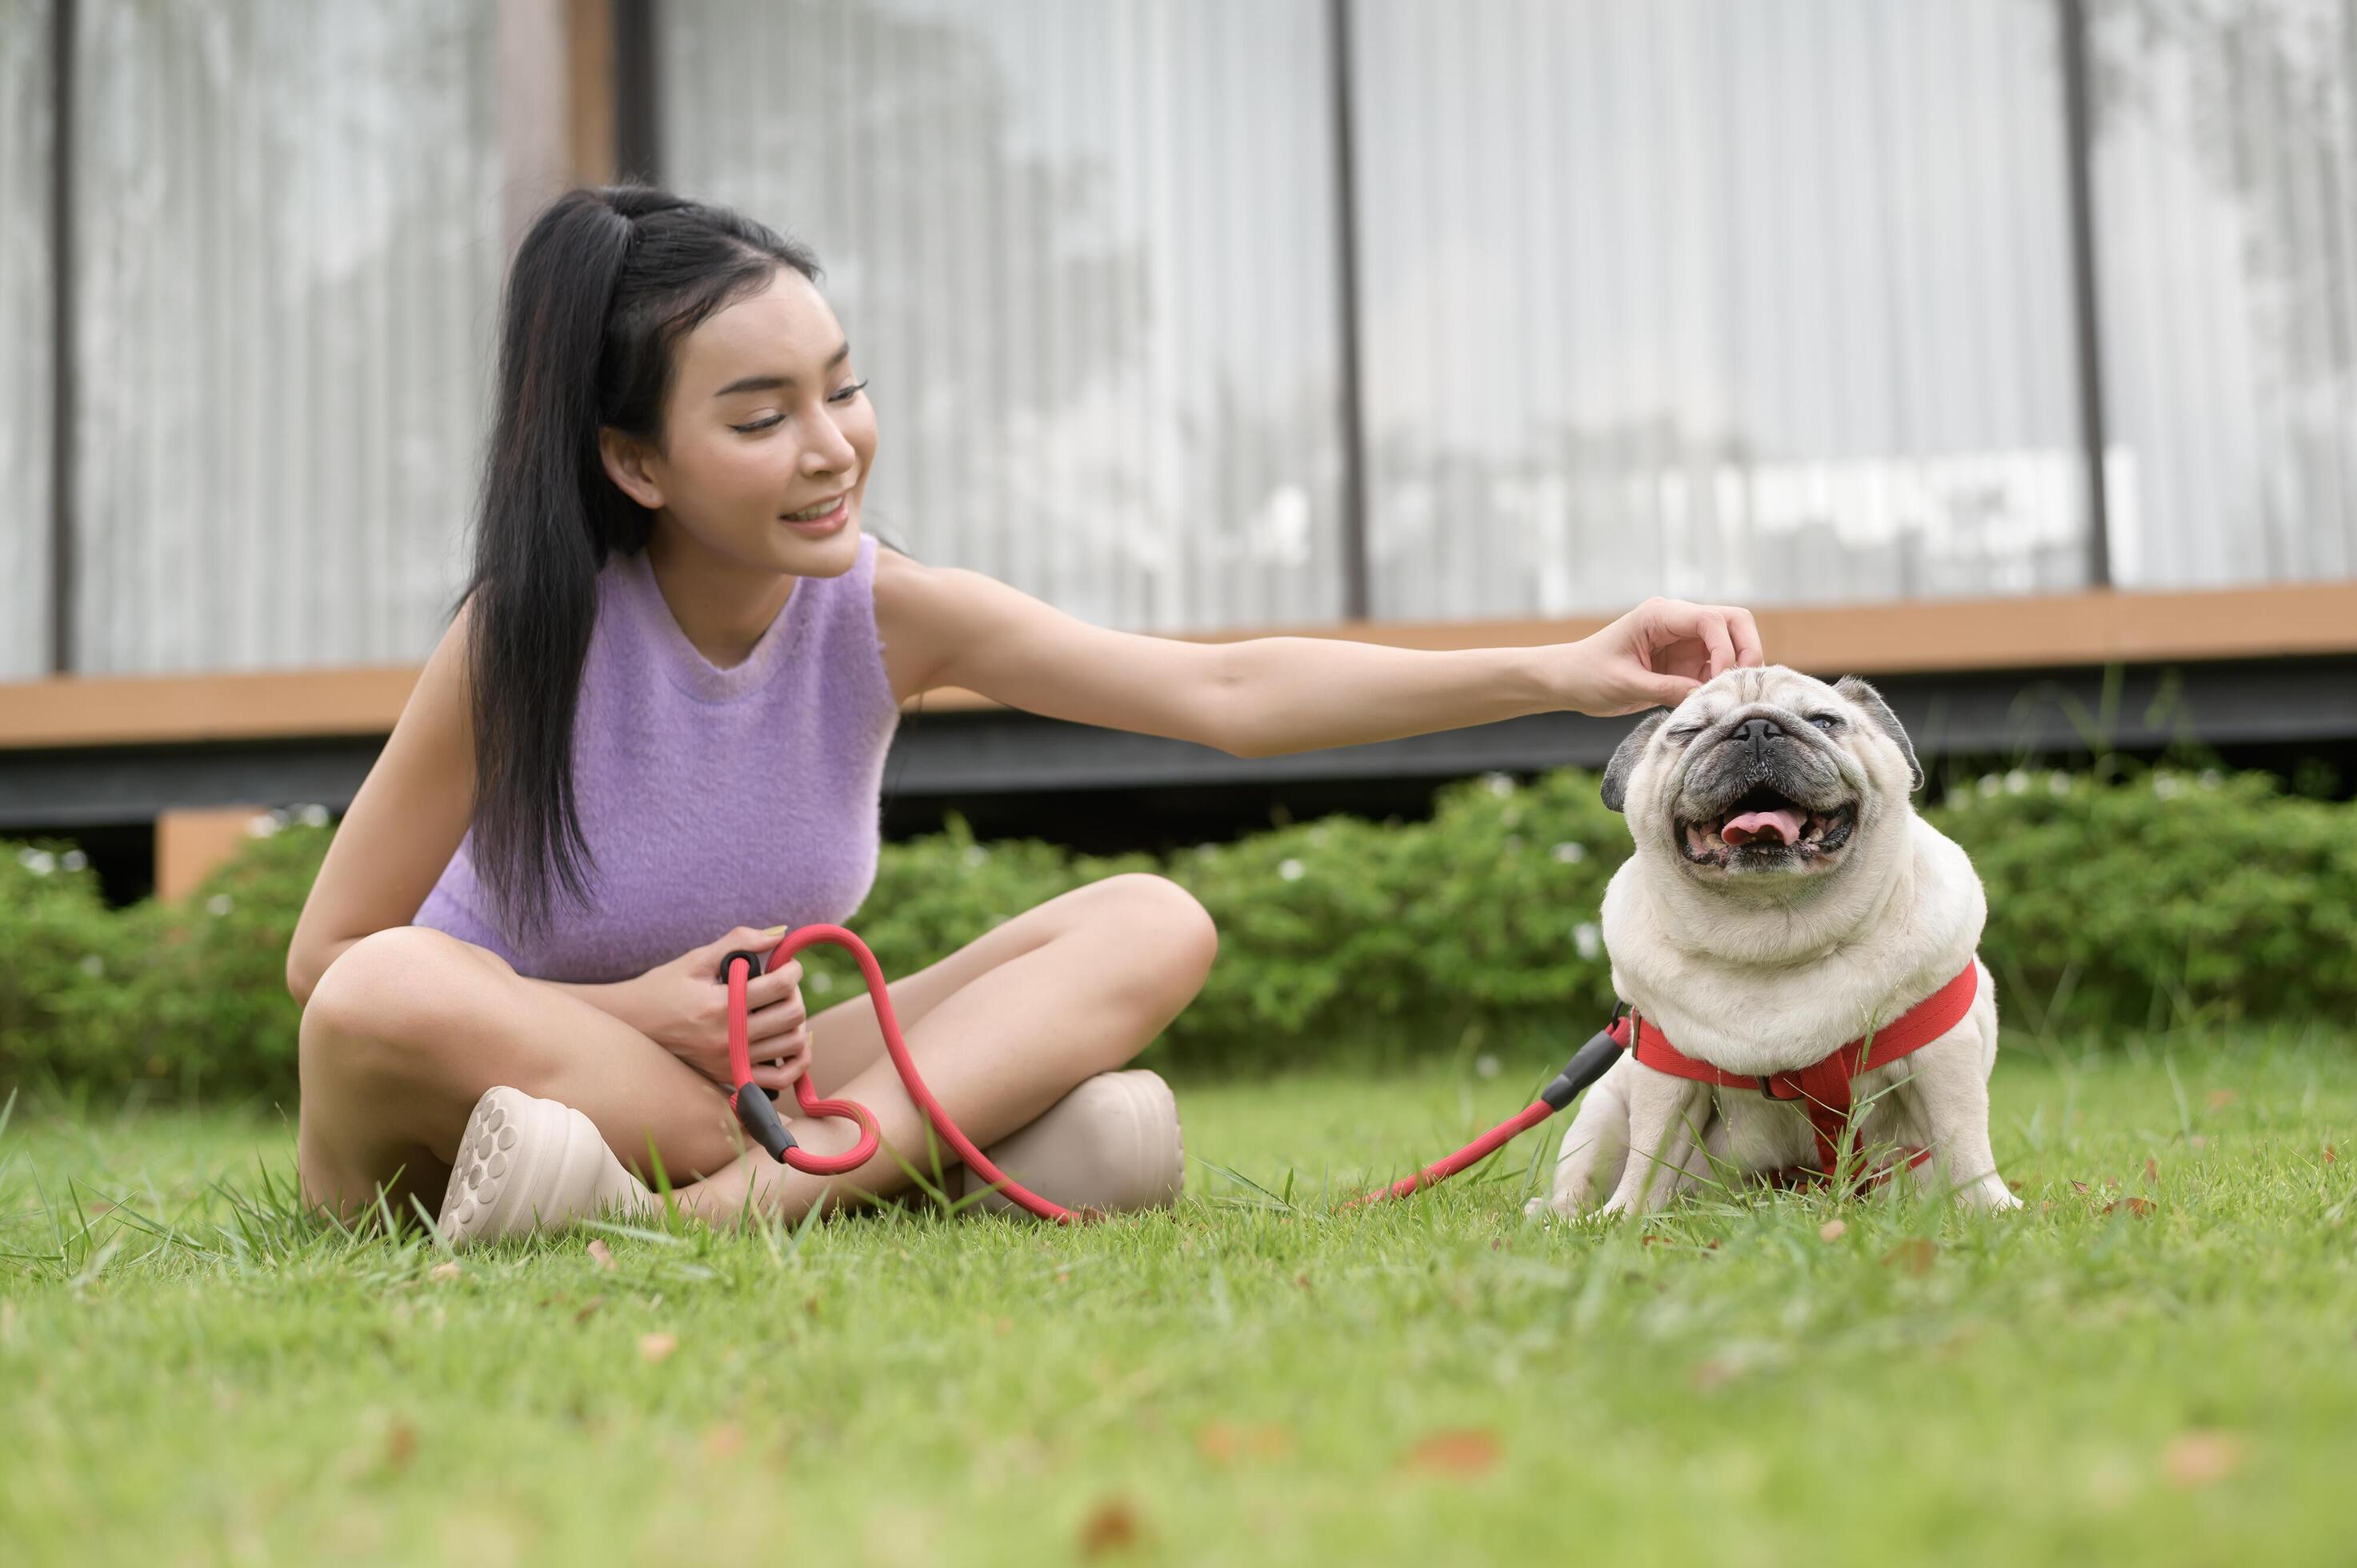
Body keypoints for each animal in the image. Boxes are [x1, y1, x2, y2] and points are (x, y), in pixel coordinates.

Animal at [1536, 665, 2017, 1216]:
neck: (1775, 937)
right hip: (1600, 1117)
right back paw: (1561, 1216)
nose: (1756, 730)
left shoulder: (1942, 1058)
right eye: (1688, 732)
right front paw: (1625, 1218)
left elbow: (1963, 1141)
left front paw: (1991, 1210)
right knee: (1582, 1176)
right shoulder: (1665, 1079)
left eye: (1825, 721)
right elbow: (1649, 1157)